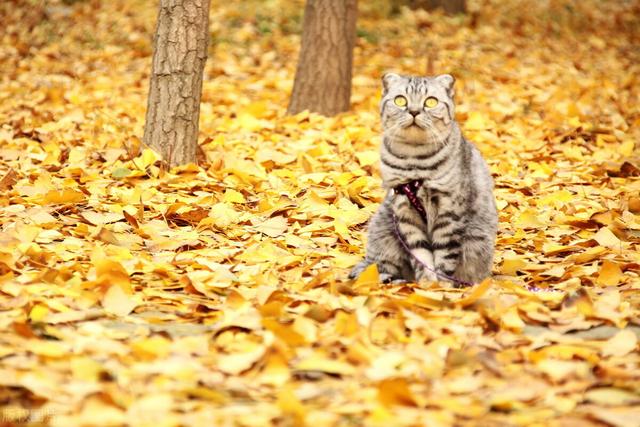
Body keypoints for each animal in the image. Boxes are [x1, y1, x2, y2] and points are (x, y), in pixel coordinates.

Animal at [348, 72, 498, 288]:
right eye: (400, 100)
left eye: (431, 101)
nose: (414, 111)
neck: (414, 159)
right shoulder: (405, 211)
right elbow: (420, 255)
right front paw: (427, 285)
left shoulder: (448, 212)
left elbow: (445, 256)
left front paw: (441, 287)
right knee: (379, 266)